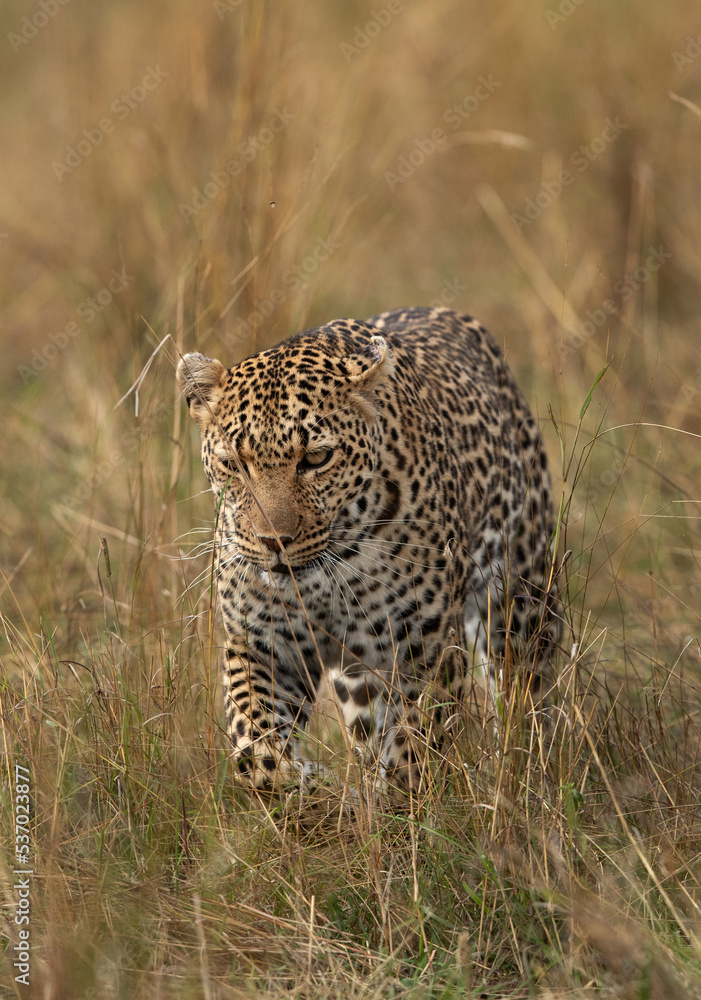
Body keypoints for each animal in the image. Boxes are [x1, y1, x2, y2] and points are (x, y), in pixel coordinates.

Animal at [177, 306, 559, 791]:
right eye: (234, 464)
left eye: (316, 459)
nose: (273, 541)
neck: (332, 568)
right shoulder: (261, 644)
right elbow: (256, 749)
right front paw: (306, 784)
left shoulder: (424, 649)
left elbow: (413, 746)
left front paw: (399, 799)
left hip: (520, 599)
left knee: (528, 695)